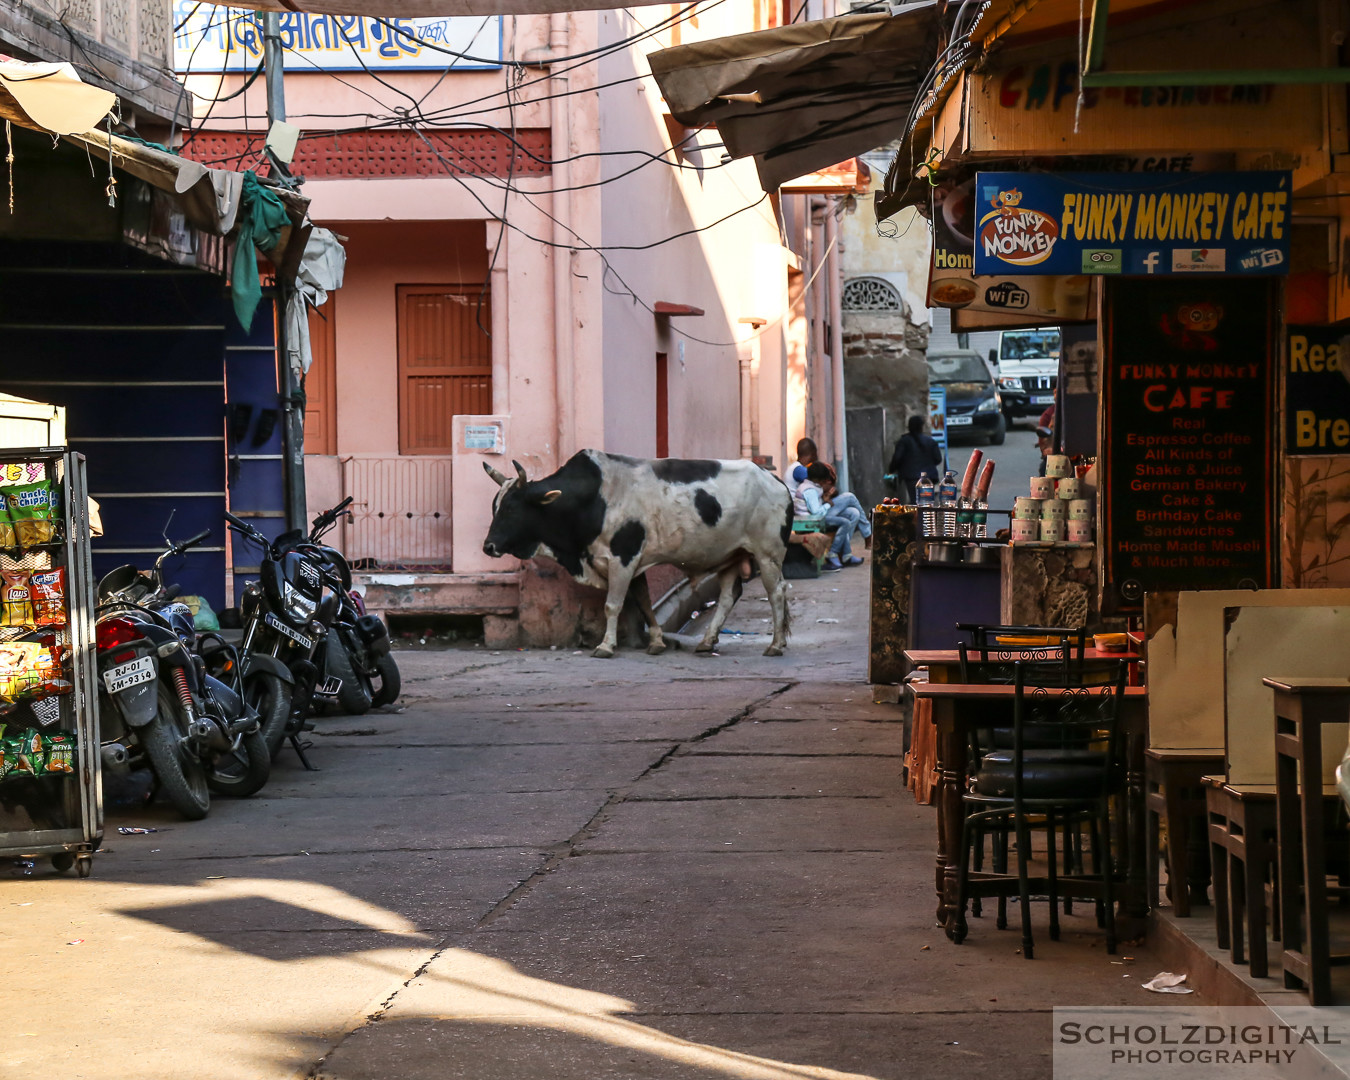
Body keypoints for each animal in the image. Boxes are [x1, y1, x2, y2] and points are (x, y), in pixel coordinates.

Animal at [480, 448, 788, 653]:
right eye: (494, 506)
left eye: (511, 508)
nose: (488, 546)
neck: (594, 497)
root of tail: (775, 480)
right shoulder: (634, 562)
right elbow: (643, 602)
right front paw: (657, 641)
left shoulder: (622, 558)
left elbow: (613, 605)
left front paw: (606, 646)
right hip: (731, 556)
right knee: (728, 596)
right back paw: (707, 641)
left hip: (768, 555)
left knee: (776, 592)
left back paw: (776, 644)